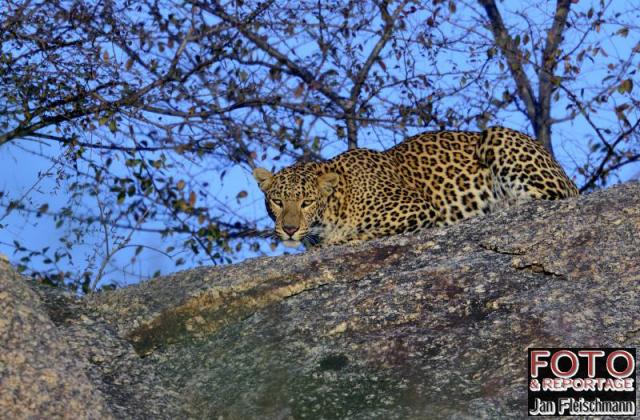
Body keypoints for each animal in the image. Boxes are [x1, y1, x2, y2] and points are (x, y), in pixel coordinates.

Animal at [253, 126, 578, 247]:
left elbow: (361, 234)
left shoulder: (416, 208)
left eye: (306, 202)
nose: (290, 229)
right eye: (278, 201)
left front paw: (338, 240)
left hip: (496, 135)